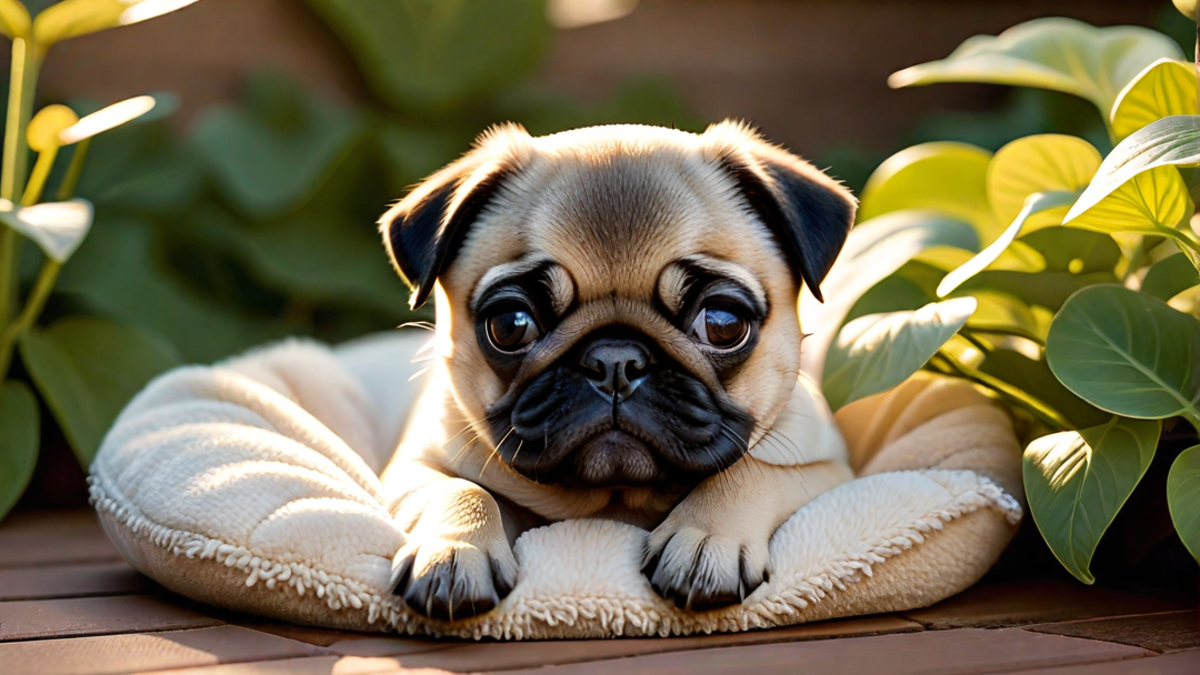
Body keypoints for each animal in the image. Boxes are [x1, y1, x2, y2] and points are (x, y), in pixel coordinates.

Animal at [379, 121, 859, 619]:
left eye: (723, 324)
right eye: (510, 325)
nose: (614, 361)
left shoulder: (827, 469)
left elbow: (750, 471)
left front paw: (706, 538)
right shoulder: (413, 468)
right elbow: (461, 490)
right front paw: (454, 551)